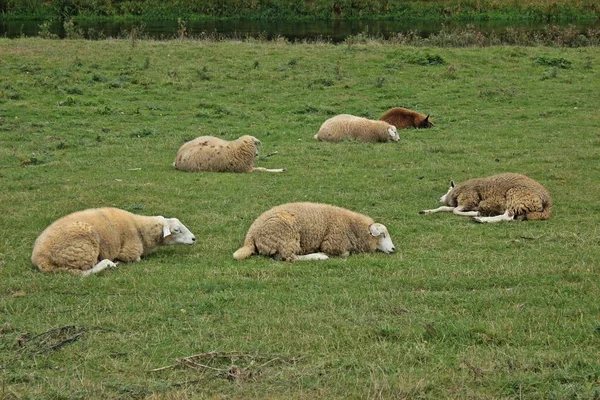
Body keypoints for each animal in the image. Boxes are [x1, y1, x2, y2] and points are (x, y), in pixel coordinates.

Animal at [31, 206, 196, 276]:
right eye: (177, 230)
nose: (194, 238)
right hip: (82, 250)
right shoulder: (129, 252)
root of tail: (40, 259)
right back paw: (109, 264)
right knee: (86, 271)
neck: (139, 228)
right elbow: (136, 259)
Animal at [234, 202, 398, 260]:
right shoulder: (333, 244)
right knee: (289, 258)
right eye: (383, 235)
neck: (352, 227)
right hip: (286, 238)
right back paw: (319, 256)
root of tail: (251, 235)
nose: (393, 249)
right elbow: (345, 253)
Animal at [420, 172, 552, 222]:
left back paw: (481, 219)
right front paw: (426, 211)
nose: (439, 198)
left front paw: (476, 213)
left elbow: (455, 211)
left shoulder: (468, 200)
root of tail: (548, 203)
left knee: (507, 217)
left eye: (448, 189)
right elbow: (445, 208)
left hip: (516, 197)